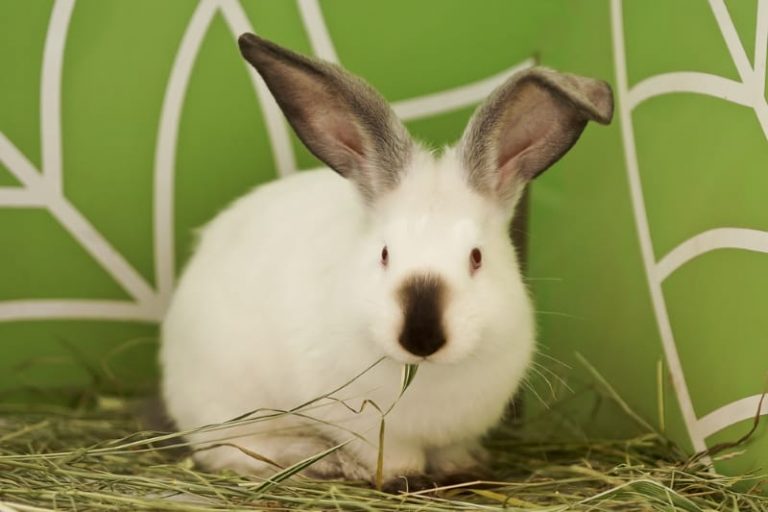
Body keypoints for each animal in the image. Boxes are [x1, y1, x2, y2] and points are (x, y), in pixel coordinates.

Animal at [160, 33, 613, 489]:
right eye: (384, 253)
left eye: (476, 256)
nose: (422, 336)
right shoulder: (363, 426)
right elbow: (392, 459)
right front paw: (403, 481)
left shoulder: (458, 433)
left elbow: (453, 454)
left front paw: (464, 470)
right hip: (230, 408)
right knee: (233, 452)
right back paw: (322, 461)